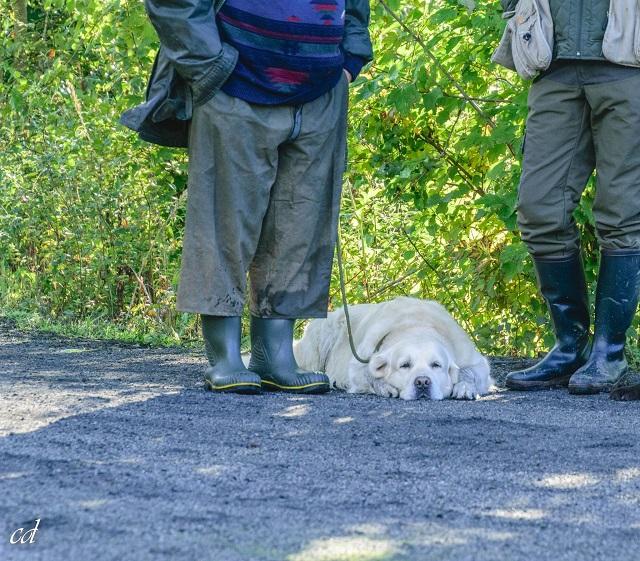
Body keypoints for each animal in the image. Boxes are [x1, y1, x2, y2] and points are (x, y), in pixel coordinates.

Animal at [296, 296, 496, 400]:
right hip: (322, 333)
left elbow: (468, 372)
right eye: (405, 365)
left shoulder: (477, 362)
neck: (417, 326)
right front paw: (384, 386)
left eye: (436, 365)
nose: (422, 382)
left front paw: (464, 387)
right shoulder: (358, 362)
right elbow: (368, 374)